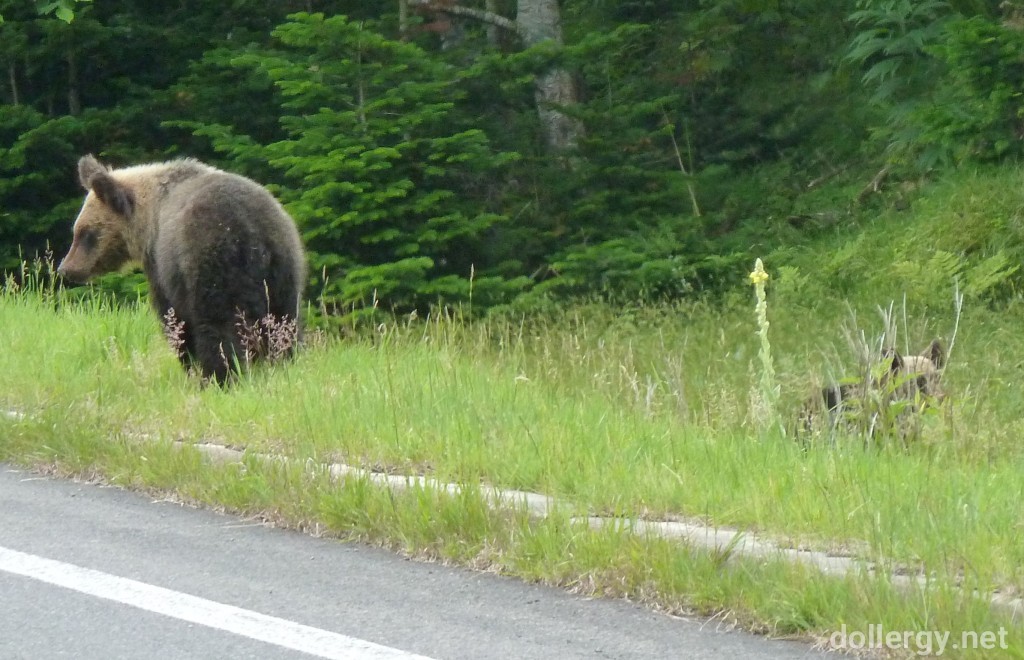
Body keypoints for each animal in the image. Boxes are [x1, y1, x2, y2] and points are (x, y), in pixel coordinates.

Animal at [58, 154, 305, 380]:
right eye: (77, 230)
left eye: (87, 233)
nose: (65, 268)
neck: (150, 221)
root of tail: (255, 232)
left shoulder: (163, 267)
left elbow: (174, 319)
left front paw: (189, 365)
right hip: (283, 270)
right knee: (285, 321)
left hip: (213, 263)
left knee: (218, 328)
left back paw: (219, 376)